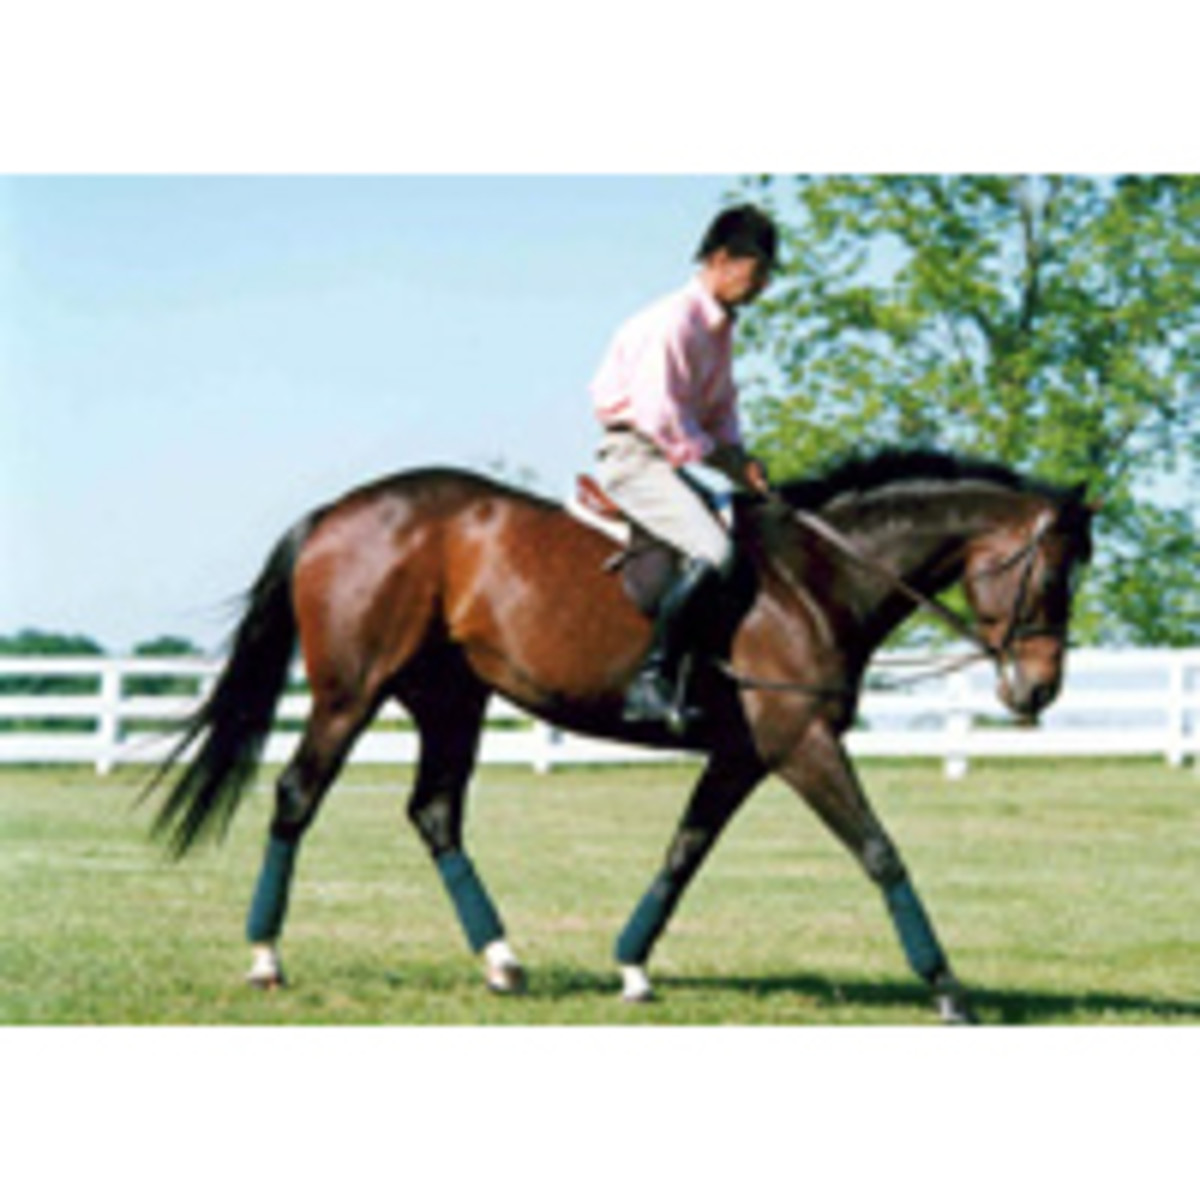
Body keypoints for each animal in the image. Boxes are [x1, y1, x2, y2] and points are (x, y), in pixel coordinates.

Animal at [148, 448, 1094, 1023]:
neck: (814, 578)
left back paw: (502, 960)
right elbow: (881, 851)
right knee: (297, 797)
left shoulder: (745, 755)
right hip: (351, 694)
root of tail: (339, 510)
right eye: (1050, 576)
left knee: (435, 814)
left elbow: (684, 852)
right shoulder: (799, 742)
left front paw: (633, 966)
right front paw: (947, 987)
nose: (1038, 688)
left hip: (452, 701)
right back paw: (266, 957)